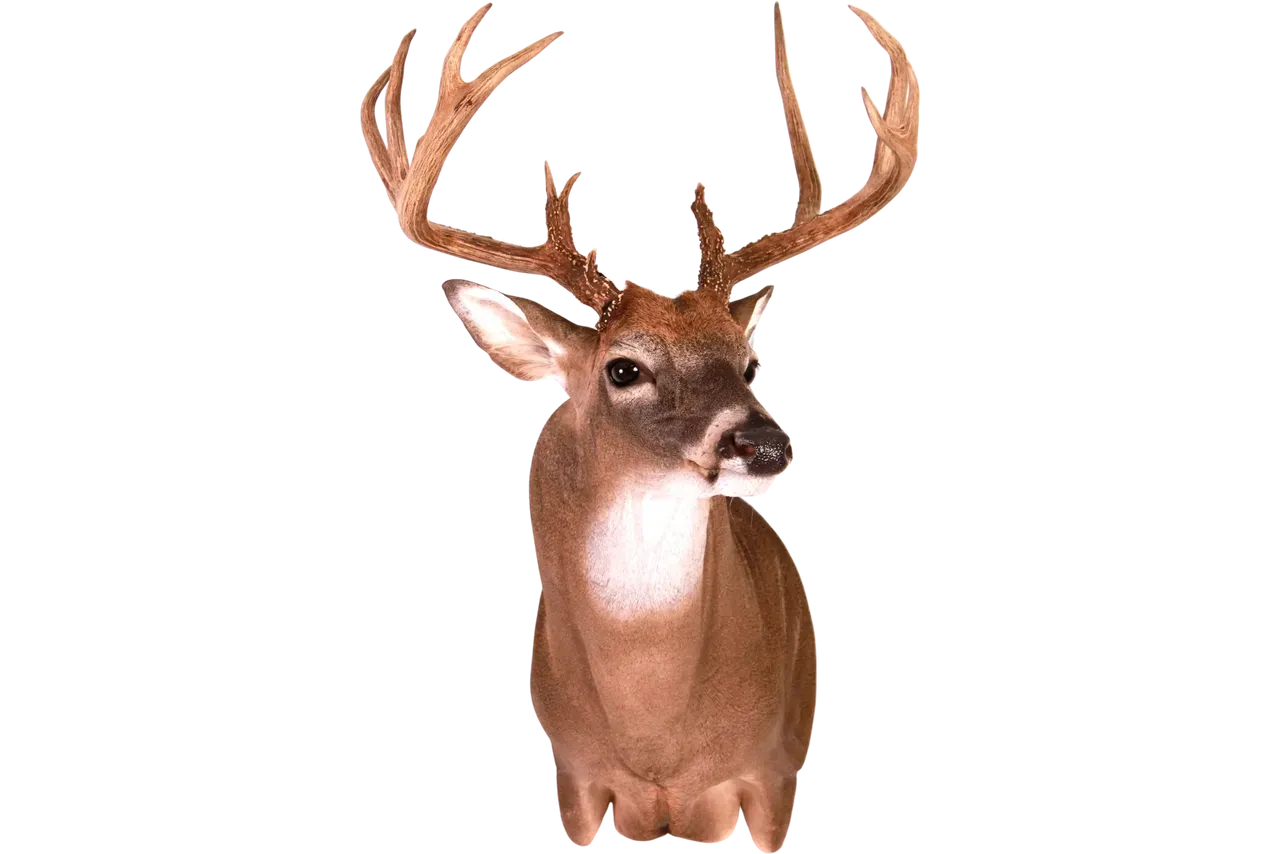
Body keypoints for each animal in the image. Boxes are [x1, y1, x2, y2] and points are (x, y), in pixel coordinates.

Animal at [358, 1, 920, 849]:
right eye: (624, 369)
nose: (764, 443)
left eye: (750, 361)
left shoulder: (755, 777)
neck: (650, 718)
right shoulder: (575, 777)